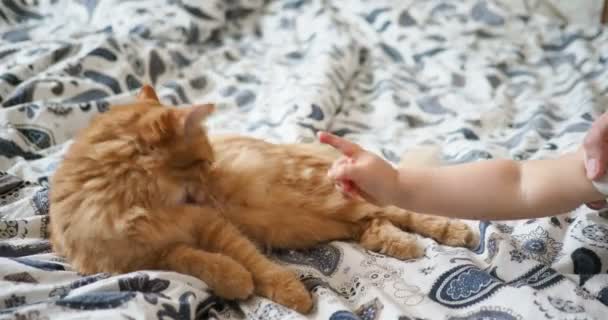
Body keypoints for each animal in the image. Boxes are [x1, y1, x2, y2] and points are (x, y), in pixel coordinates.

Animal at [50, 85, 478, 312]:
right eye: (203, 161)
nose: (212, 177)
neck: (145, 209)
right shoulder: (139, 259)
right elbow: (197, 261)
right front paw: (234, 280)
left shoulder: (212, 223)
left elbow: (255, 263)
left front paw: (290, 293)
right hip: (320, 219)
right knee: (373, 225)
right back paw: (402, 244)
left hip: (326, 197)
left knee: (397, 208)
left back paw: (454, 232)